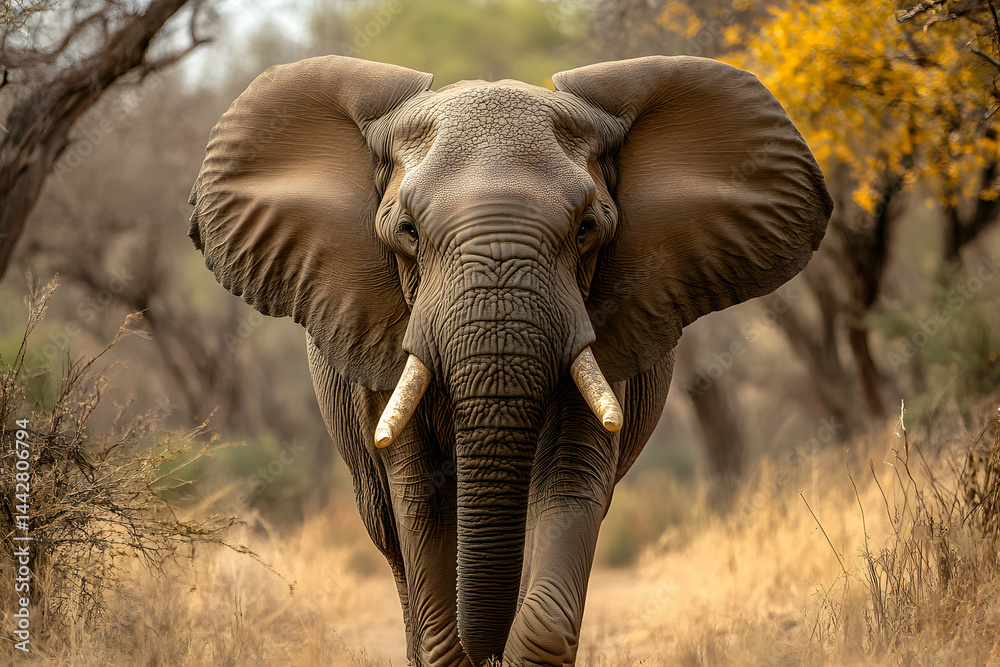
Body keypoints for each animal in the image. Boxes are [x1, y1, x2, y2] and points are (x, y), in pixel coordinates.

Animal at [187, 54, 833, 666]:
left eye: (588, 228)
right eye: (407, 231)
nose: (488, 649)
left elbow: (570, 483)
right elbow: (419, 498)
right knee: (391, 538)